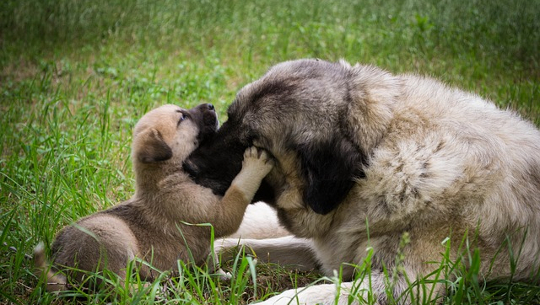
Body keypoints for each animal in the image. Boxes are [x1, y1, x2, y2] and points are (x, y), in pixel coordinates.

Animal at [32, 102, 274, 290]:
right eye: (182, 117)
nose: (212, 106)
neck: (167, 177)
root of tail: (59, 259)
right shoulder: (217, 214)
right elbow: (239, 190)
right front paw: (254, 164)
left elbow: (211, 260)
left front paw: (222, 276)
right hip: (112, 237)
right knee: (117, 287)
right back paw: (152, 289)